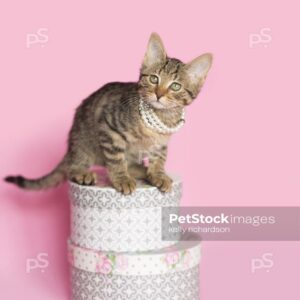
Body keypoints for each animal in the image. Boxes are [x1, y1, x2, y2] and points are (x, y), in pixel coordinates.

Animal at [4, 33, 211, 195]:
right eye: (154, 79)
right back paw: (83, 173)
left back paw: (141, 170)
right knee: (74, 166)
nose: (159, 94)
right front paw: (122, 179)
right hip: (83, 141)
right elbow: (115, 158)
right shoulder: (109, 127)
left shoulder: (161, 143)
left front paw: (158, 174)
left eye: (175, 86)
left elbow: (159, 158)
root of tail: (71, 149)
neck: (160, 116)